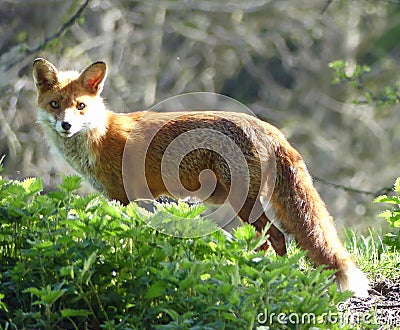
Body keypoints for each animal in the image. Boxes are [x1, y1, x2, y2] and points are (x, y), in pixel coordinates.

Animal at [32, 58, 370, 298]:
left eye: (80, 106)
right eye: (55, 105)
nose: (65, 125)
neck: (99, 138)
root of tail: (271, 129)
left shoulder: (123, 197)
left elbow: (123, 235)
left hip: (243, 204)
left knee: (275, 238)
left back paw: (265, 274)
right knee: (271, 240)